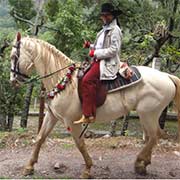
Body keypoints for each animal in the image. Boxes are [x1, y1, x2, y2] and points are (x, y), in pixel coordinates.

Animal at [9, 33, 180, 178]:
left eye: (14, 57)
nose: (13, 81)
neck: (64, 80)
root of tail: (166, 76)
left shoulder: (72, 121)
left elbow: (79, 144)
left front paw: (88, 169)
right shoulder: (52, 116)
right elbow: (40, 138)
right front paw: (29, 167)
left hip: (148, 114)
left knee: (155, 136)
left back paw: (139, 163)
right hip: (148, 115)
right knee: (153, 136)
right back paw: (143, 163)